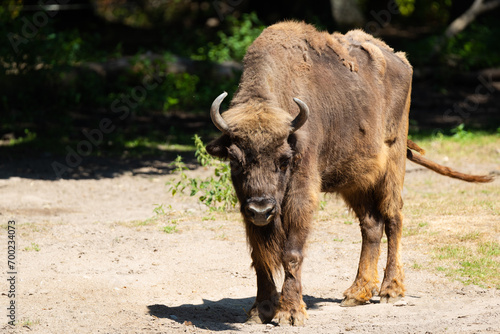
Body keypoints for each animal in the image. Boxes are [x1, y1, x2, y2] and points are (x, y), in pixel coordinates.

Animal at [204, 22, 492, 324]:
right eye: (234, 159)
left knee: (394, 218)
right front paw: (260, 311)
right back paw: (356, 293)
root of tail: (401, 60)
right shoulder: (247, 204)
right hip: (355, 180)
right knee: (371, 225)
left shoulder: (300, 194)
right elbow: (260, 255)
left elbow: (291, 252)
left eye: (284, 160)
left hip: (393, 163)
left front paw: (291, 313)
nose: (262, 209)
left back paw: (390, 291)